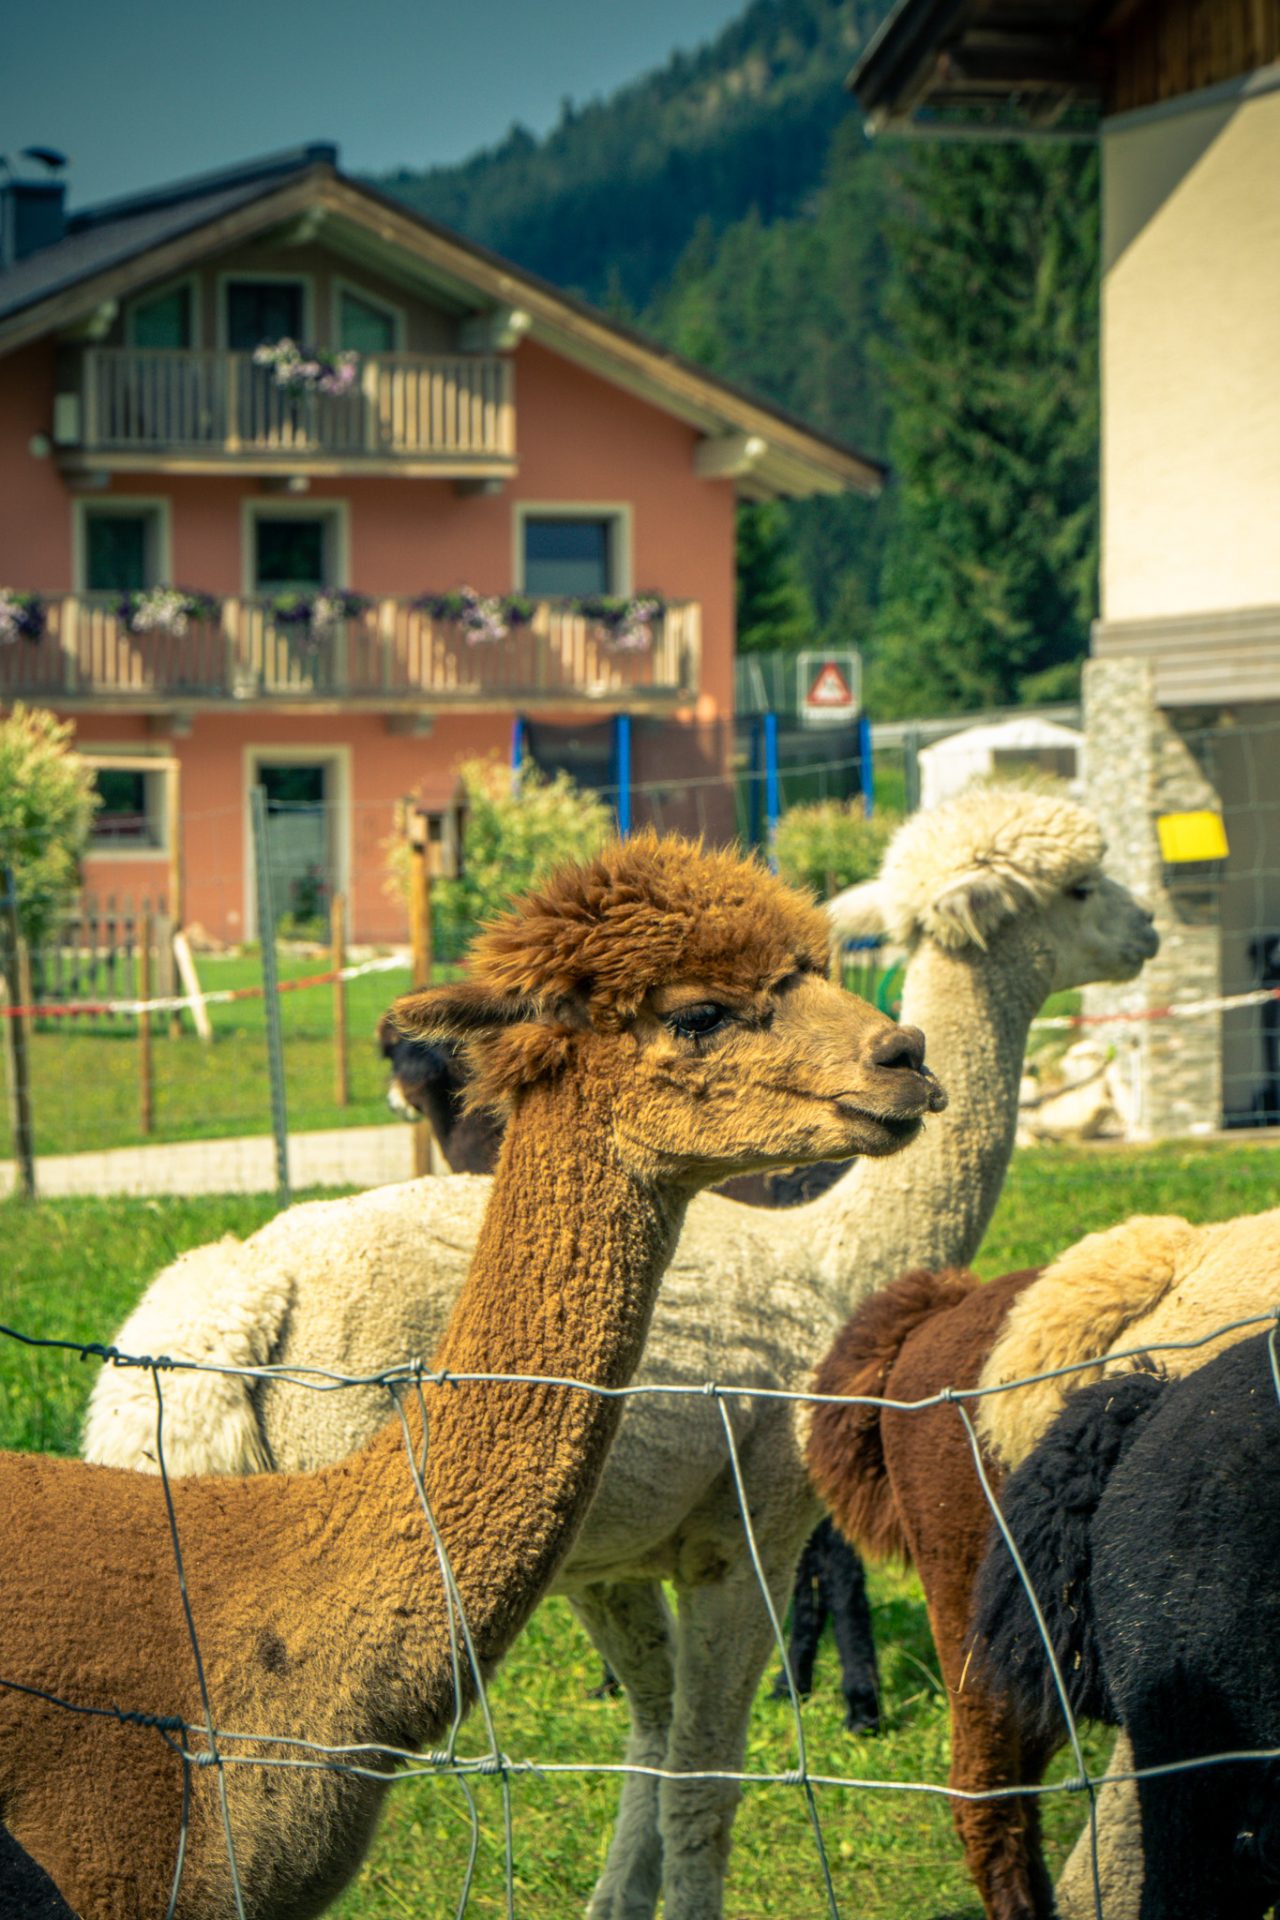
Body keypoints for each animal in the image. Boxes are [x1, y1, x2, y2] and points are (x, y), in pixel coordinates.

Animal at [82, 785, 1157, 1920]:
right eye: (1078, 887)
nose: (903, 1057)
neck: (832, 1257)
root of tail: (232, 1304)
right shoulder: (753, 1529)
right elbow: (702, 1775)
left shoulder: (605, 1557)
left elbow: (649, 1730)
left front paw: (615, 1898)